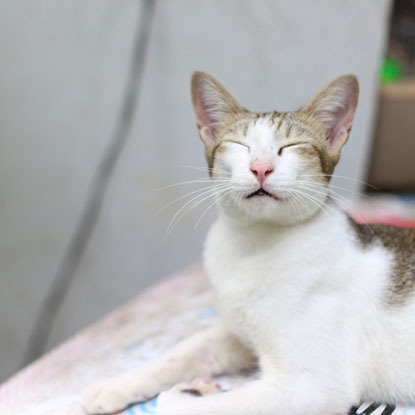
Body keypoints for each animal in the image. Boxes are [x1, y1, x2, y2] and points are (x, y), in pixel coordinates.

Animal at [82, 72, 415, 415]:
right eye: (239, 145)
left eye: (292, 146)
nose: (261, 167)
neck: (253, 245)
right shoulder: (236, 332)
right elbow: (184, 350)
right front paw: (115, 384)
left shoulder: (308, 386)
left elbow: (190, 406)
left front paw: (190, 393)